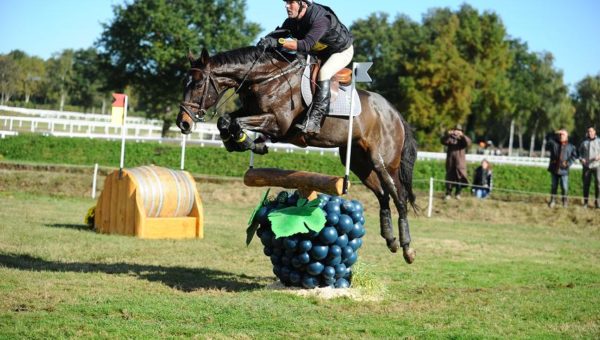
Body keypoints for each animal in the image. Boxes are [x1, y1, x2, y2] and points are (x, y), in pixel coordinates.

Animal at [177, 45, 418, 262]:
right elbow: (225, 120)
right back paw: (391, 241)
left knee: (399, 197)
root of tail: (393, 112)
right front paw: (240, 142)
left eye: (198, 83)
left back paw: (407, 248)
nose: (183, 123)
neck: (266, 79)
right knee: (383, 195)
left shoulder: (278, 123)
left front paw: (248, 143)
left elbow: (235, 122)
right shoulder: (254, 114)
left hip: (383, 162)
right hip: (360, 162)